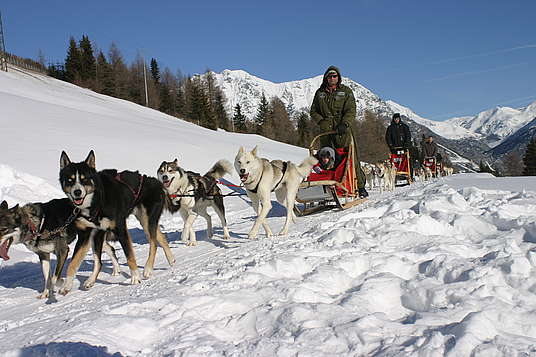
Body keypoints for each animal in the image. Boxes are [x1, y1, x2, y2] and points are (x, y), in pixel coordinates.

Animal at [58, 149, 176, 292]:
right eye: (69, 180)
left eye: (84, 179)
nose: (77, 192)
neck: (97, 200)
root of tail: (156, 182)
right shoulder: (87, 234)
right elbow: (76, 262)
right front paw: (68, 285)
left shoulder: (120, 228)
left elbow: (129, 255)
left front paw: (135, 278)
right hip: (143, 221)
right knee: (161, 238)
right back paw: (171, 259)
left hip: (148, 220)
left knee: (153, 244)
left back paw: (148, 269)